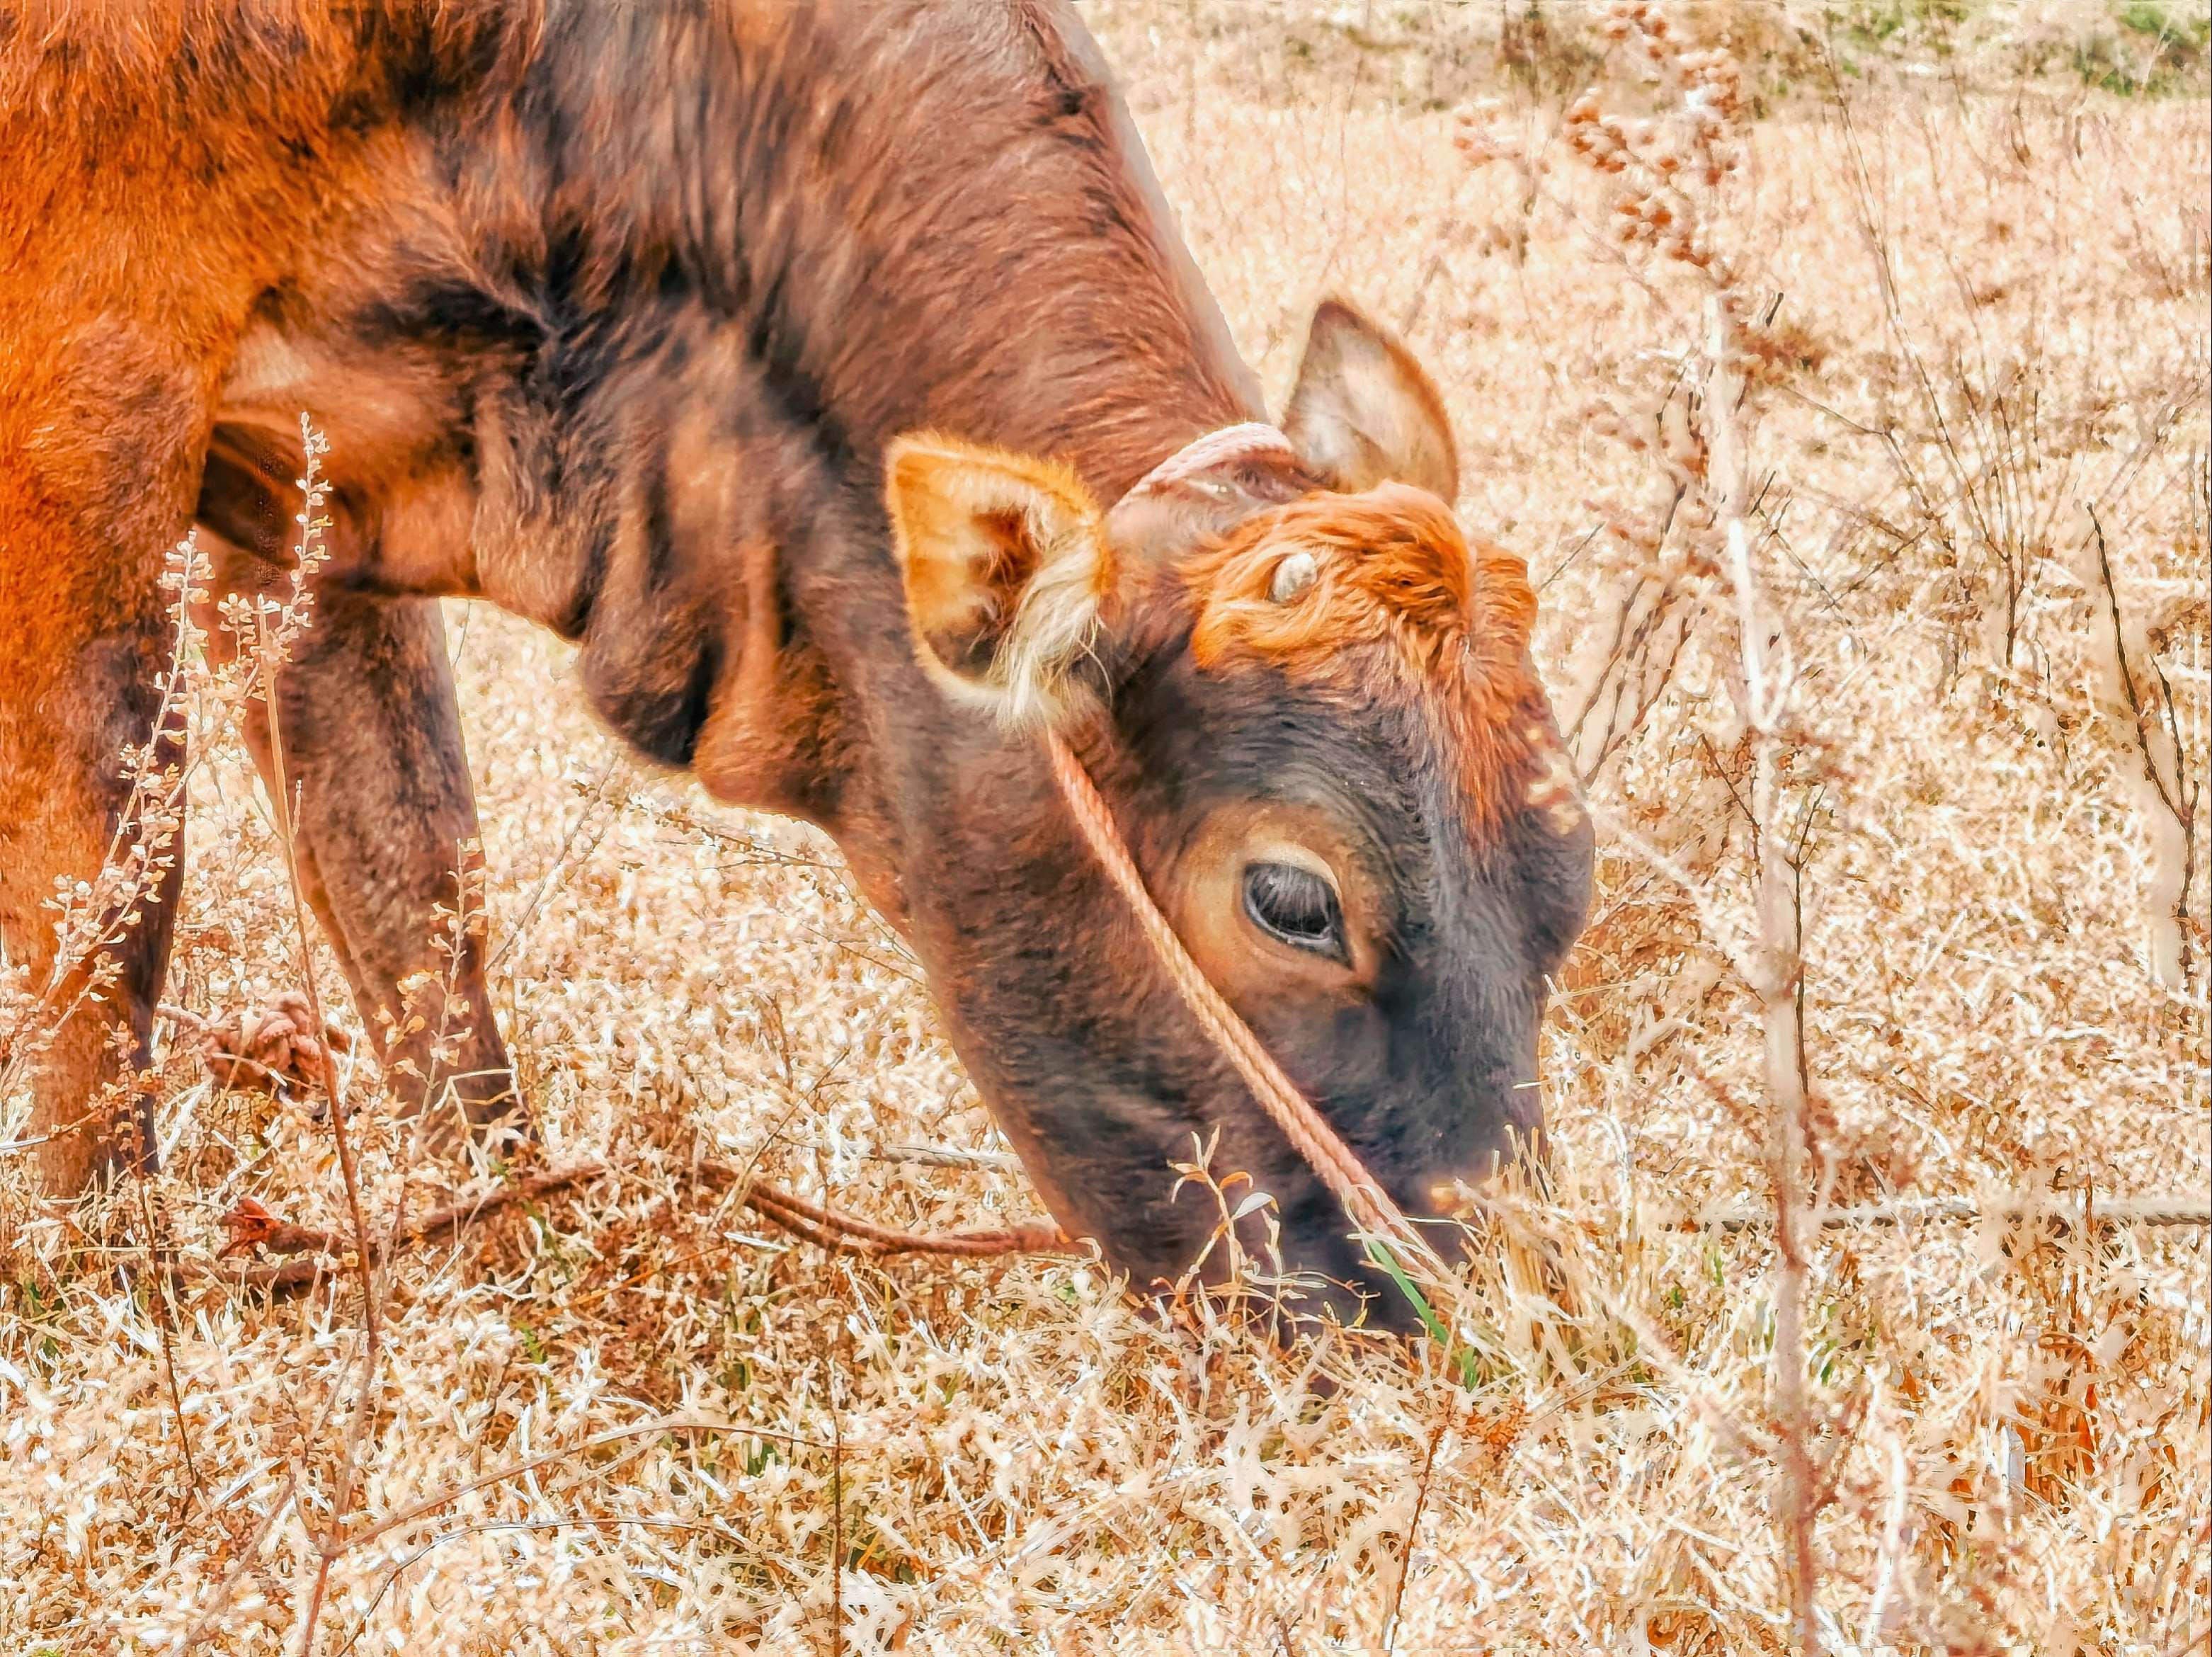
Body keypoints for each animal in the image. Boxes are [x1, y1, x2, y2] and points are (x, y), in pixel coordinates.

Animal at [0, 0, 1592, 1319]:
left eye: (1565, 892)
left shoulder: (311, 492)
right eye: (1289, 900)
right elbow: (109, 887)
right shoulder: (86, 397)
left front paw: (498, 1220)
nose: (1457, 1325)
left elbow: (406, 874)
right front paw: (110, 1285)